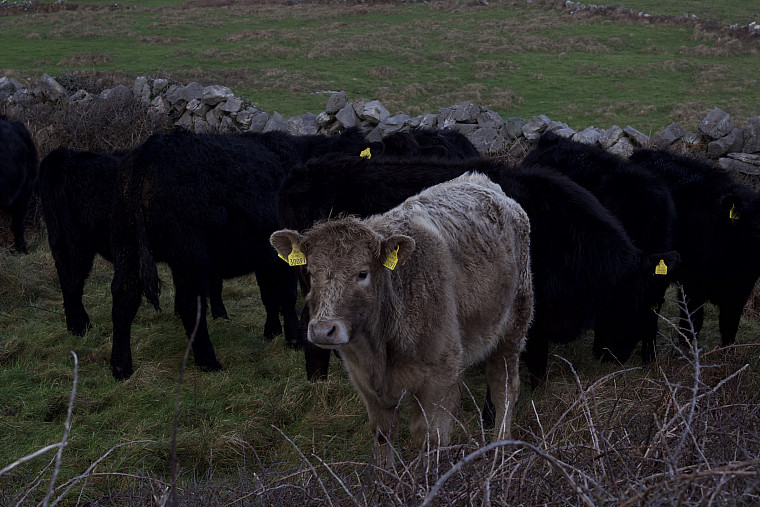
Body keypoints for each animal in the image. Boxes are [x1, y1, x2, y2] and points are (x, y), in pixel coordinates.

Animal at [38, 147, 228, 336]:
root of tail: (64, 156)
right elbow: (213, 282)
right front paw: (220, 316)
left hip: (61, 243)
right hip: (77, 244)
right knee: (72, 283)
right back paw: (80, 328)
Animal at [271, 172, 534, 466]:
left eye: (362, 273)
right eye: (311, 274)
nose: (322, 330)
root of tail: (481, 180)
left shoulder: (439, 374)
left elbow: (428, 435)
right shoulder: (366, 382)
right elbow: (383, 434)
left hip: (513, 327)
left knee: (504, 387)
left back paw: (500, 448)